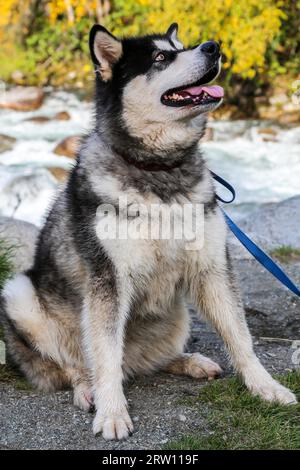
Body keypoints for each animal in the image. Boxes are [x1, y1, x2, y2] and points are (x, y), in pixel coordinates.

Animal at [0, 23, 296, 440]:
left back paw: (188, 362)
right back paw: (87, 387)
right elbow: (105, 355)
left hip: (178, 316)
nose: (213, 47)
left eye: (180, 46)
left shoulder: (213, 270)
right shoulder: (108, 280)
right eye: (160, 58)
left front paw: (264, 386)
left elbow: (240, 337)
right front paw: (111, 411)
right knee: (73, 364)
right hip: (20, 294)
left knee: (149, 360)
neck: (158, 169)